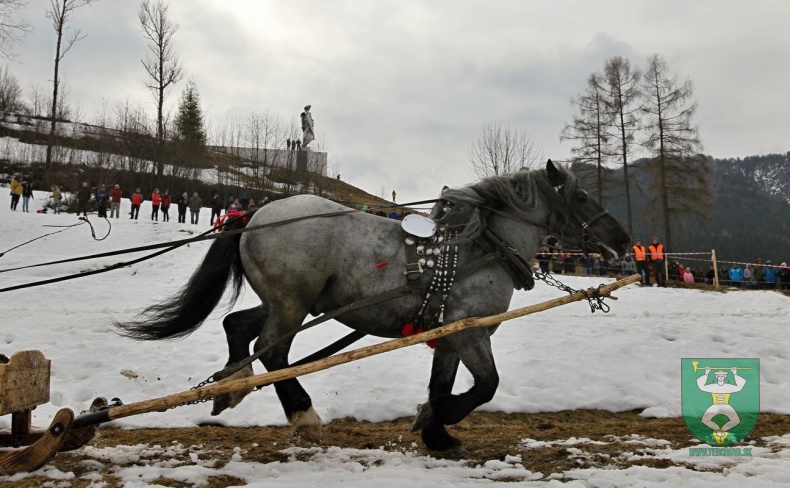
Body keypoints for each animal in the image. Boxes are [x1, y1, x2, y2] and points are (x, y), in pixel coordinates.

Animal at [116, 160, 632, 450]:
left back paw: (231, 386)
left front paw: (437, 433)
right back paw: (303, 414)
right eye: (581, 195)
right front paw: (437, 420)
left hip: (289, 301)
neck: (482, 246)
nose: (624, 240)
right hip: (291, 302)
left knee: (238, 326)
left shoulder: (448, 335)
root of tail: (255, 212)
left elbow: (441, 385)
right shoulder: (470, 330)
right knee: (275, 352)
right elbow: (486, 386)